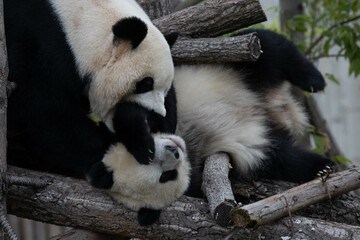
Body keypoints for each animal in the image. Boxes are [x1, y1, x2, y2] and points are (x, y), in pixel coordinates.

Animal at [5, 0, 190, 225]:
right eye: (145, 83)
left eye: (165, 87)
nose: (155, 119)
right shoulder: (30, 39)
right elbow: (43, 113)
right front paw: (134, 148)